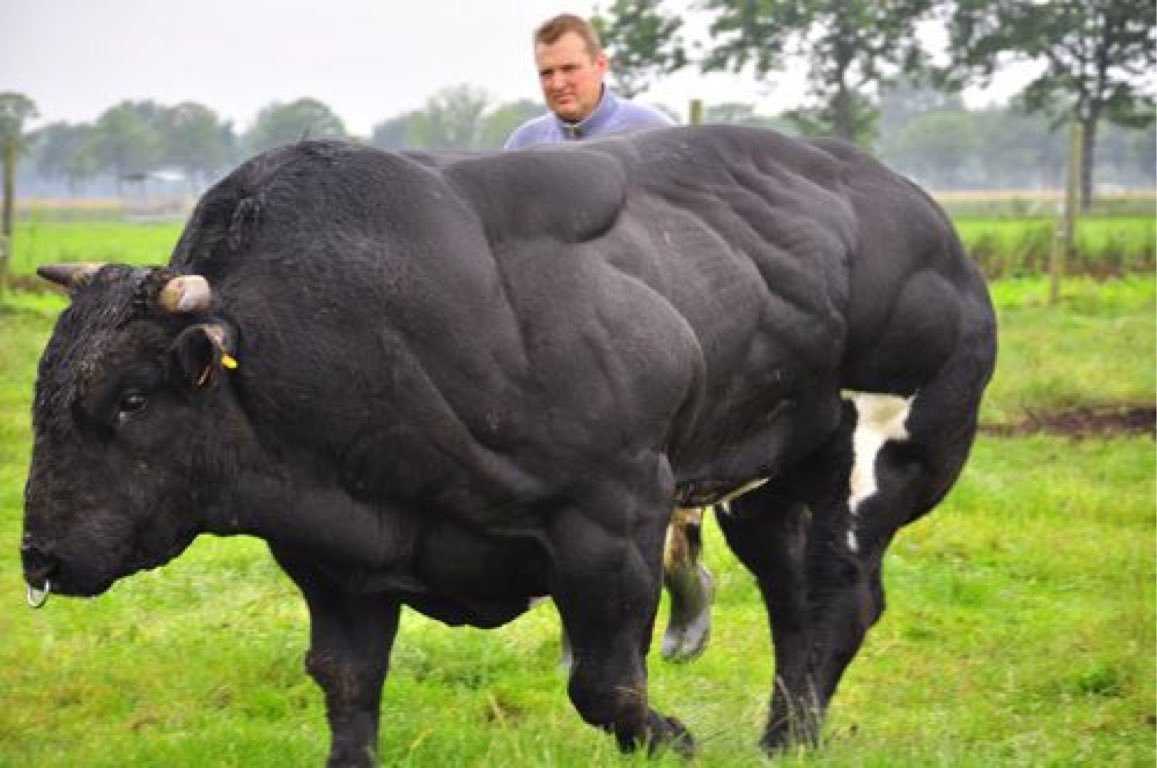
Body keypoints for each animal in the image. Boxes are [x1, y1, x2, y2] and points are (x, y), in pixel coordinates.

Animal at [21, 125, 996, 766]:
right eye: (41, 392)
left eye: (131, 398)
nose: (41, 556)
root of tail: (920, 215)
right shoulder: (333, 554)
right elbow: (344, 682)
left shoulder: (615, 510)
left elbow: (607, 685)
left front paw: (677, 739)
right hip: (767, 480)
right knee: (792, 599)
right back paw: (784, 738)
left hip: (879, 456)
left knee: (837, 597)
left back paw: (789, 736)